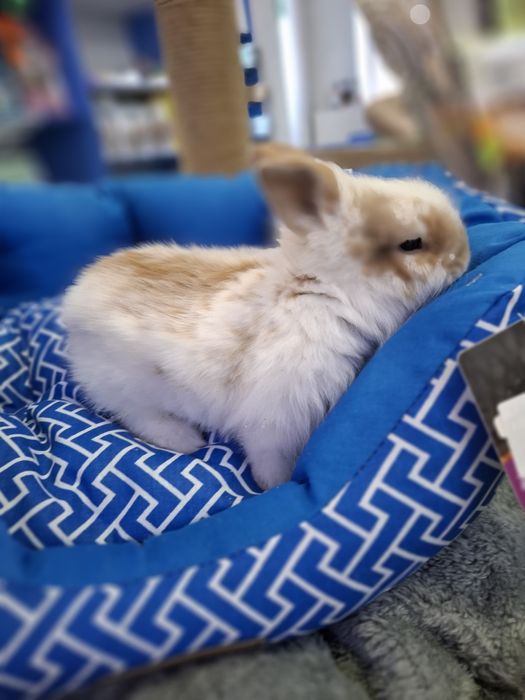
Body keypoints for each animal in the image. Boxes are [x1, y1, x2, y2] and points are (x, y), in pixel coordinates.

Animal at [62, 149, 469, 490]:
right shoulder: (277, 417)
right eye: (411, 244)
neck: (319, 291)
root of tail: (74, 299)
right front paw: (274, 485)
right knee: (135, 414)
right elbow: (269, 457)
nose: (463, 258)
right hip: (129, 388)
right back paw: (185, 441)